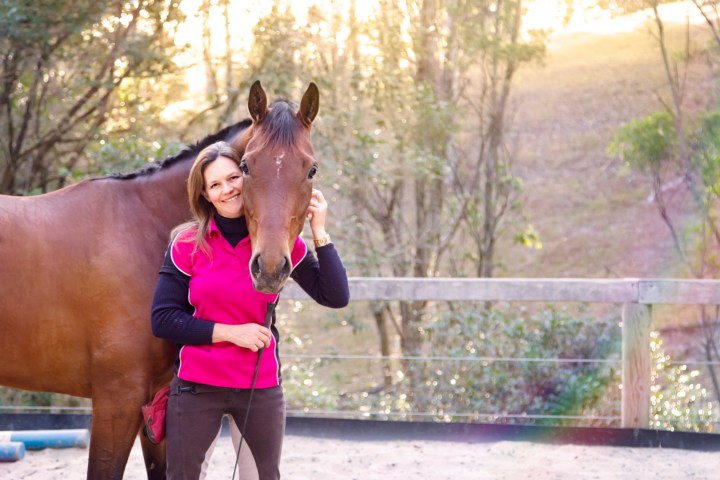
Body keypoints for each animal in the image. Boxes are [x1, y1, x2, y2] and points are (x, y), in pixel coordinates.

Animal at [0, 80, 319, 479]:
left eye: (311, 170)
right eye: (245, 167)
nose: (271, 268)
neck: (145, 228)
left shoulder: (159, 402)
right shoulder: (117, 399)